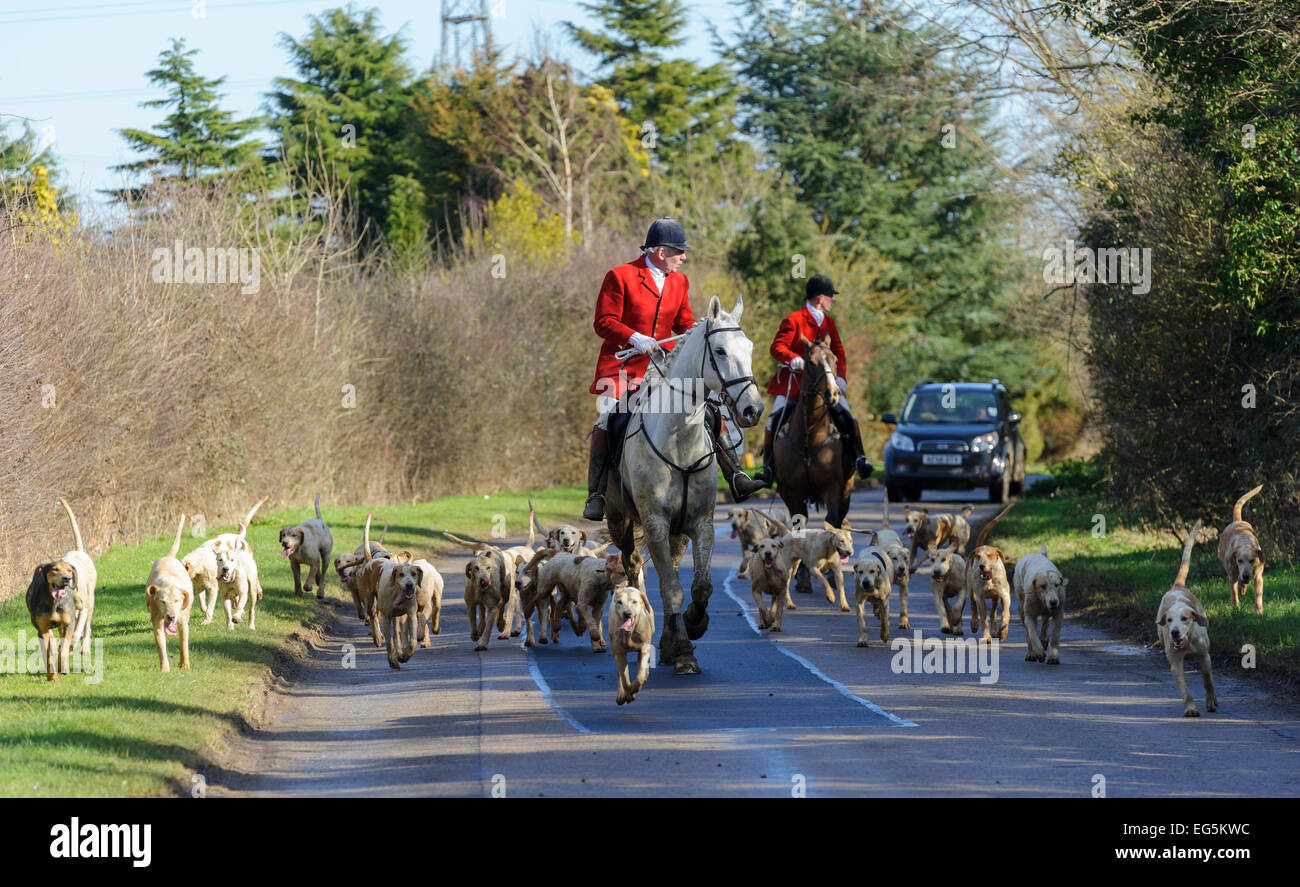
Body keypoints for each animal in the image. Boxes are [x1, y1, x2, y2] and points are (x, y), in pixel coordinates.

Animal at [603, 293, 764, 671]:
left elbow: (701, 586)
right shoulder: (656, 522)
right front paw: (683, 642)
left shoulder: (701, 522)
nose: (753, 410)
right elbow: (671, 588)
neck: (679, 437)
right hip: (621, 522)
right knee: (637, 569)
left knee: (671, 570)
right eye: (719, 350)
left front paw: (692, 627)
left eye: (749, 347)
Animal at [769, 335, 852, 528]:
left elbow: (832, 522)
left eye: (835, 360)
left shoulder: (833, 490)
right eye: (810, 362)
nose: (833, 393)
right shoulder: (791, 494)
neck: (809, 435)